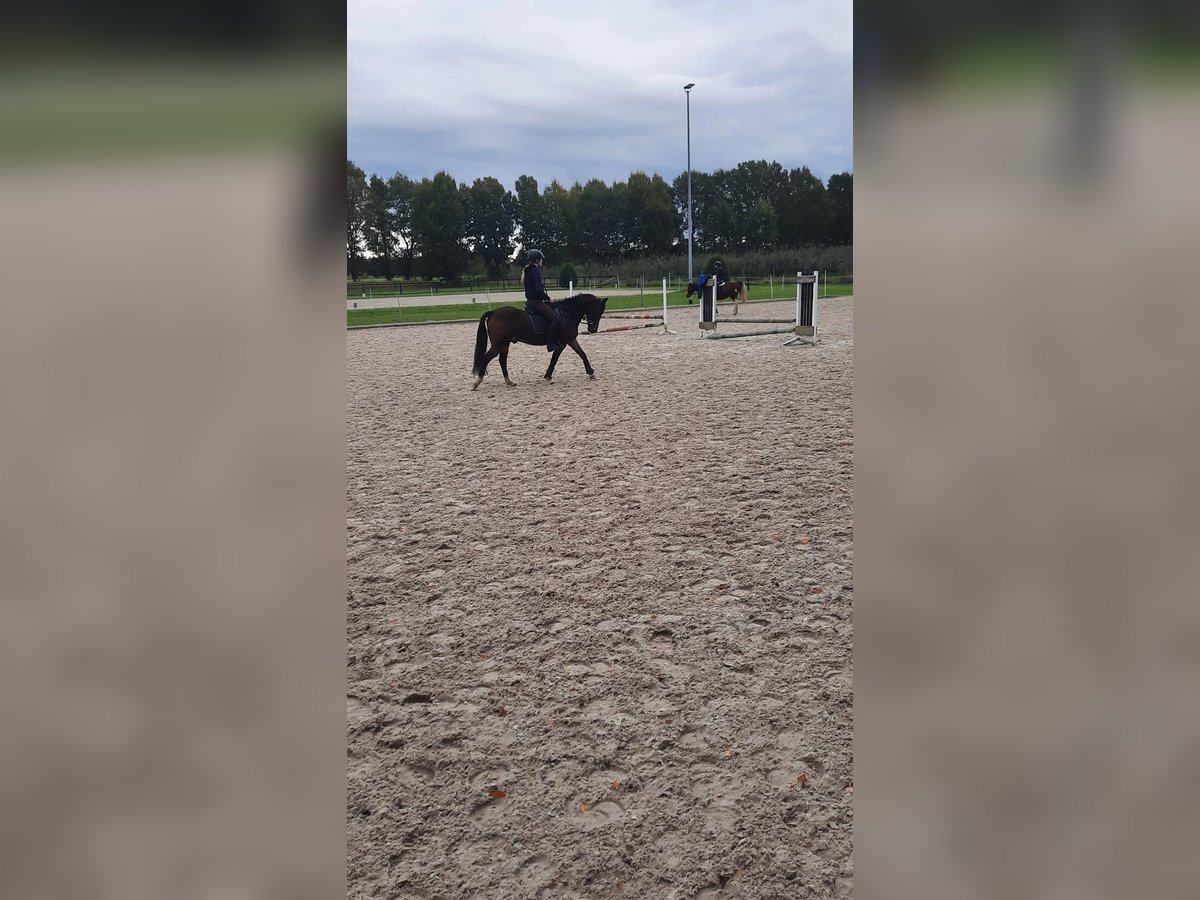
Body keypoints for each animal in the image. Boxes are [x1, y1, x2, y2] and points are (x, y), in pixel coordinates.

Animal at [471, 293, 609, 390]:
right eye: (597, 310)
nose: (593, 329)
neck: (568, 312)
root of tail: (493, 312)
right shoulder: (564, 343)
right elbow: (555, 359)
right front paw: (548, 377)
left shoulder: (570, 340)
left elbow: (582, 354)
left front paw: (590, 373)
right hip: (498, 344)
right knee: (486, 358)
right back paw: (477, 382)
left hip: (505, 344)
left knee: (502, 361)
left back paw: (509, 382)